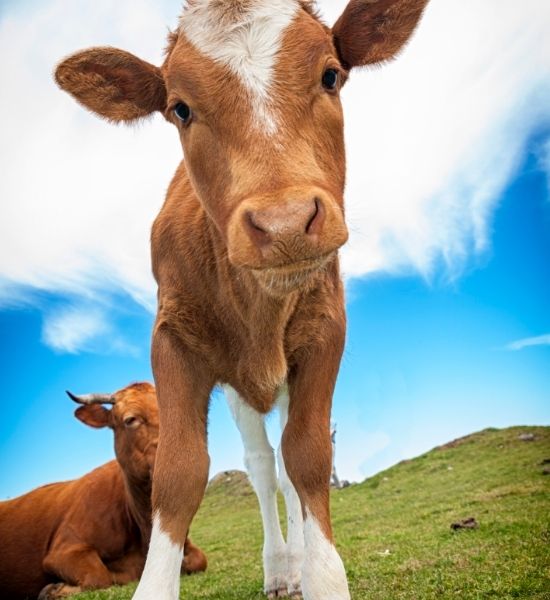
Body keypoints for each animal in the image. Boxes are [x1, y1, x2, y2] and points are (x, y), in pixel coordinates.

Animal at [57, 2, 432, 596]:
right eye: (180, 108)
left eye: (331, 75)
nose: (285, 224)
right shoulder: (173, 340)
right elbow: (181, 471)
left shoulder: (326, 330)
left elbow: (308, 456)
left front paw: (321, 576)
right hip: (238, 386)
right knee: (260, 464)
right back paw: (280, 569)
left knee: (289, 466)